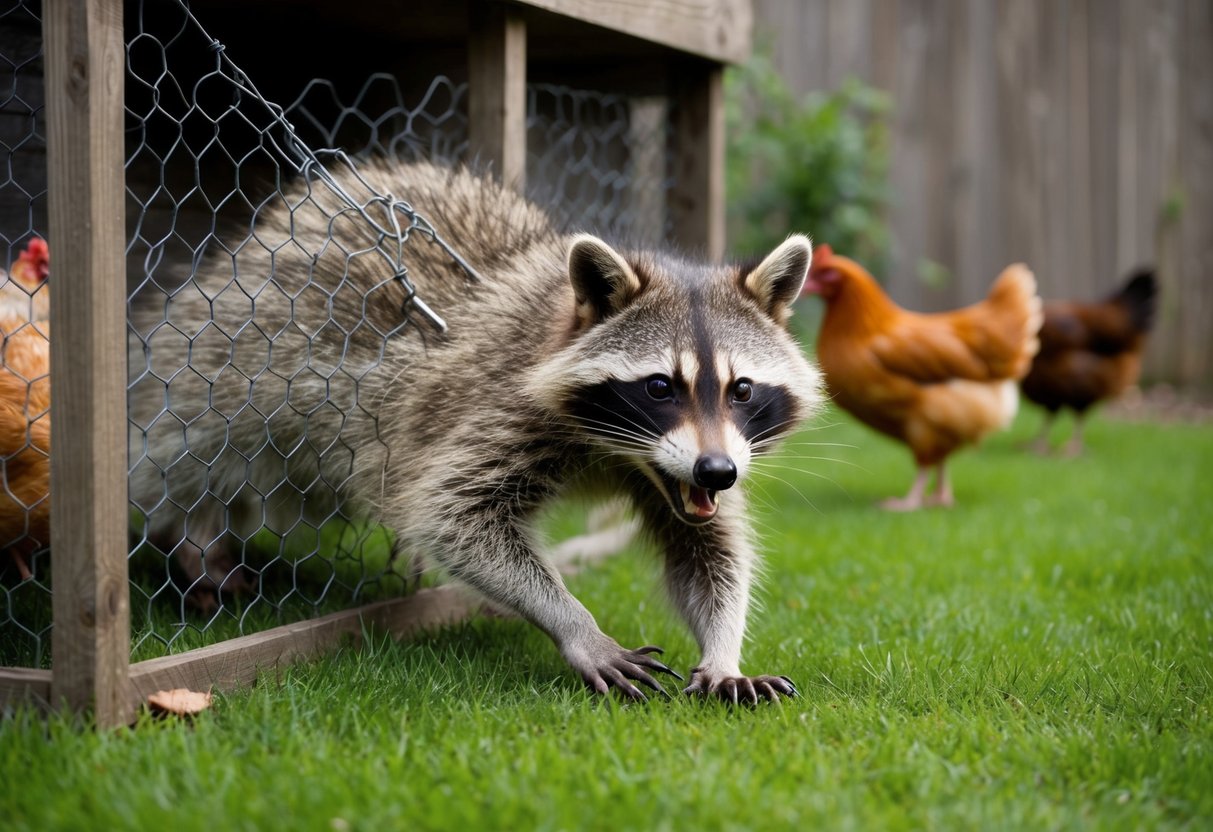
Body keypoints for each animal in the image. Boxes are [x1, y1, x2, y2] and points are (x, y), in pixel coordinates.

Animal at [129, 159, 822, 702]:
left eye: (741, 390)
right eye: (659, 387)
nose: (717, 472)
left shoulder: (689, 464)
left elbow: (708, 549)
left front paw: (723, 650)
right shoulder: (498, 403)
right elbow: (457, 518)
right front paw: (577, 626)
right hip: (231, 348)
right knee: (189, 447)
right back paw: (191, 534)